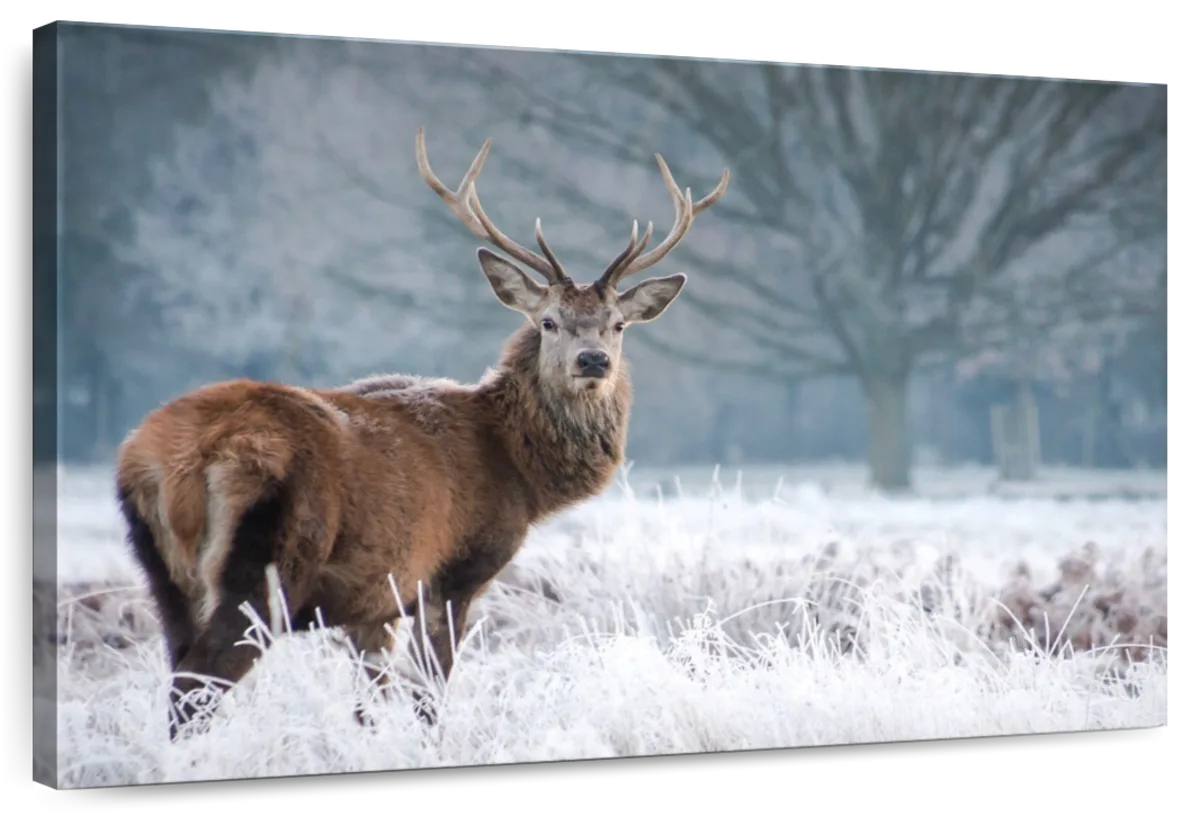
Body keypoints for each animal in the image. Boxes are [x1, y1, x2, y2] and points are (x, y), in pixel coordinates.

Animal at [114, 126, 729, 740]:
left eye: (617, 325)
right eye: (548, 321)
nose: (593, 360)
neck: (519, 473)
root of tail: (173, 461)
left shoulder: (373, 603)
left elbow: (367, 705)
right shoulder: (452, 573)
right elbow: (428, 696)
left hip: (164, 576)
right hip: (263, 564)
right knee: (193, 692)